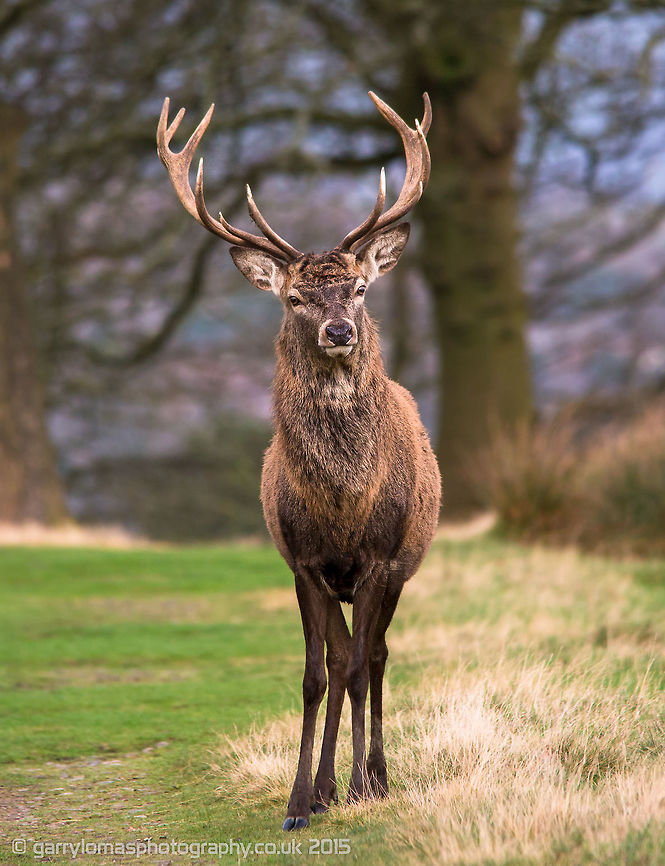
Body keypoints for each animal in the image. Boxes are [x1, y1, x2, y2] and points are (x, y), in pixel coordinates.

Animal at [157, 91, 441, 831]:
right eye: (294, 298)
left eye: (360, 290)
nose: (339, 331)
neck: (341, 501)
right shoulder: (303, 561)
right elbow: (316, 676)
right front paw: (298, 801)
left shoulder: (377, 557)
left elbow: (360, 668)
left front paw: (362, 786)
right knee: (343, 659)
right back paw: (328, 789)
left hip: (403, 565)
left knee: (375, 657)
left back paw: (373, 778)